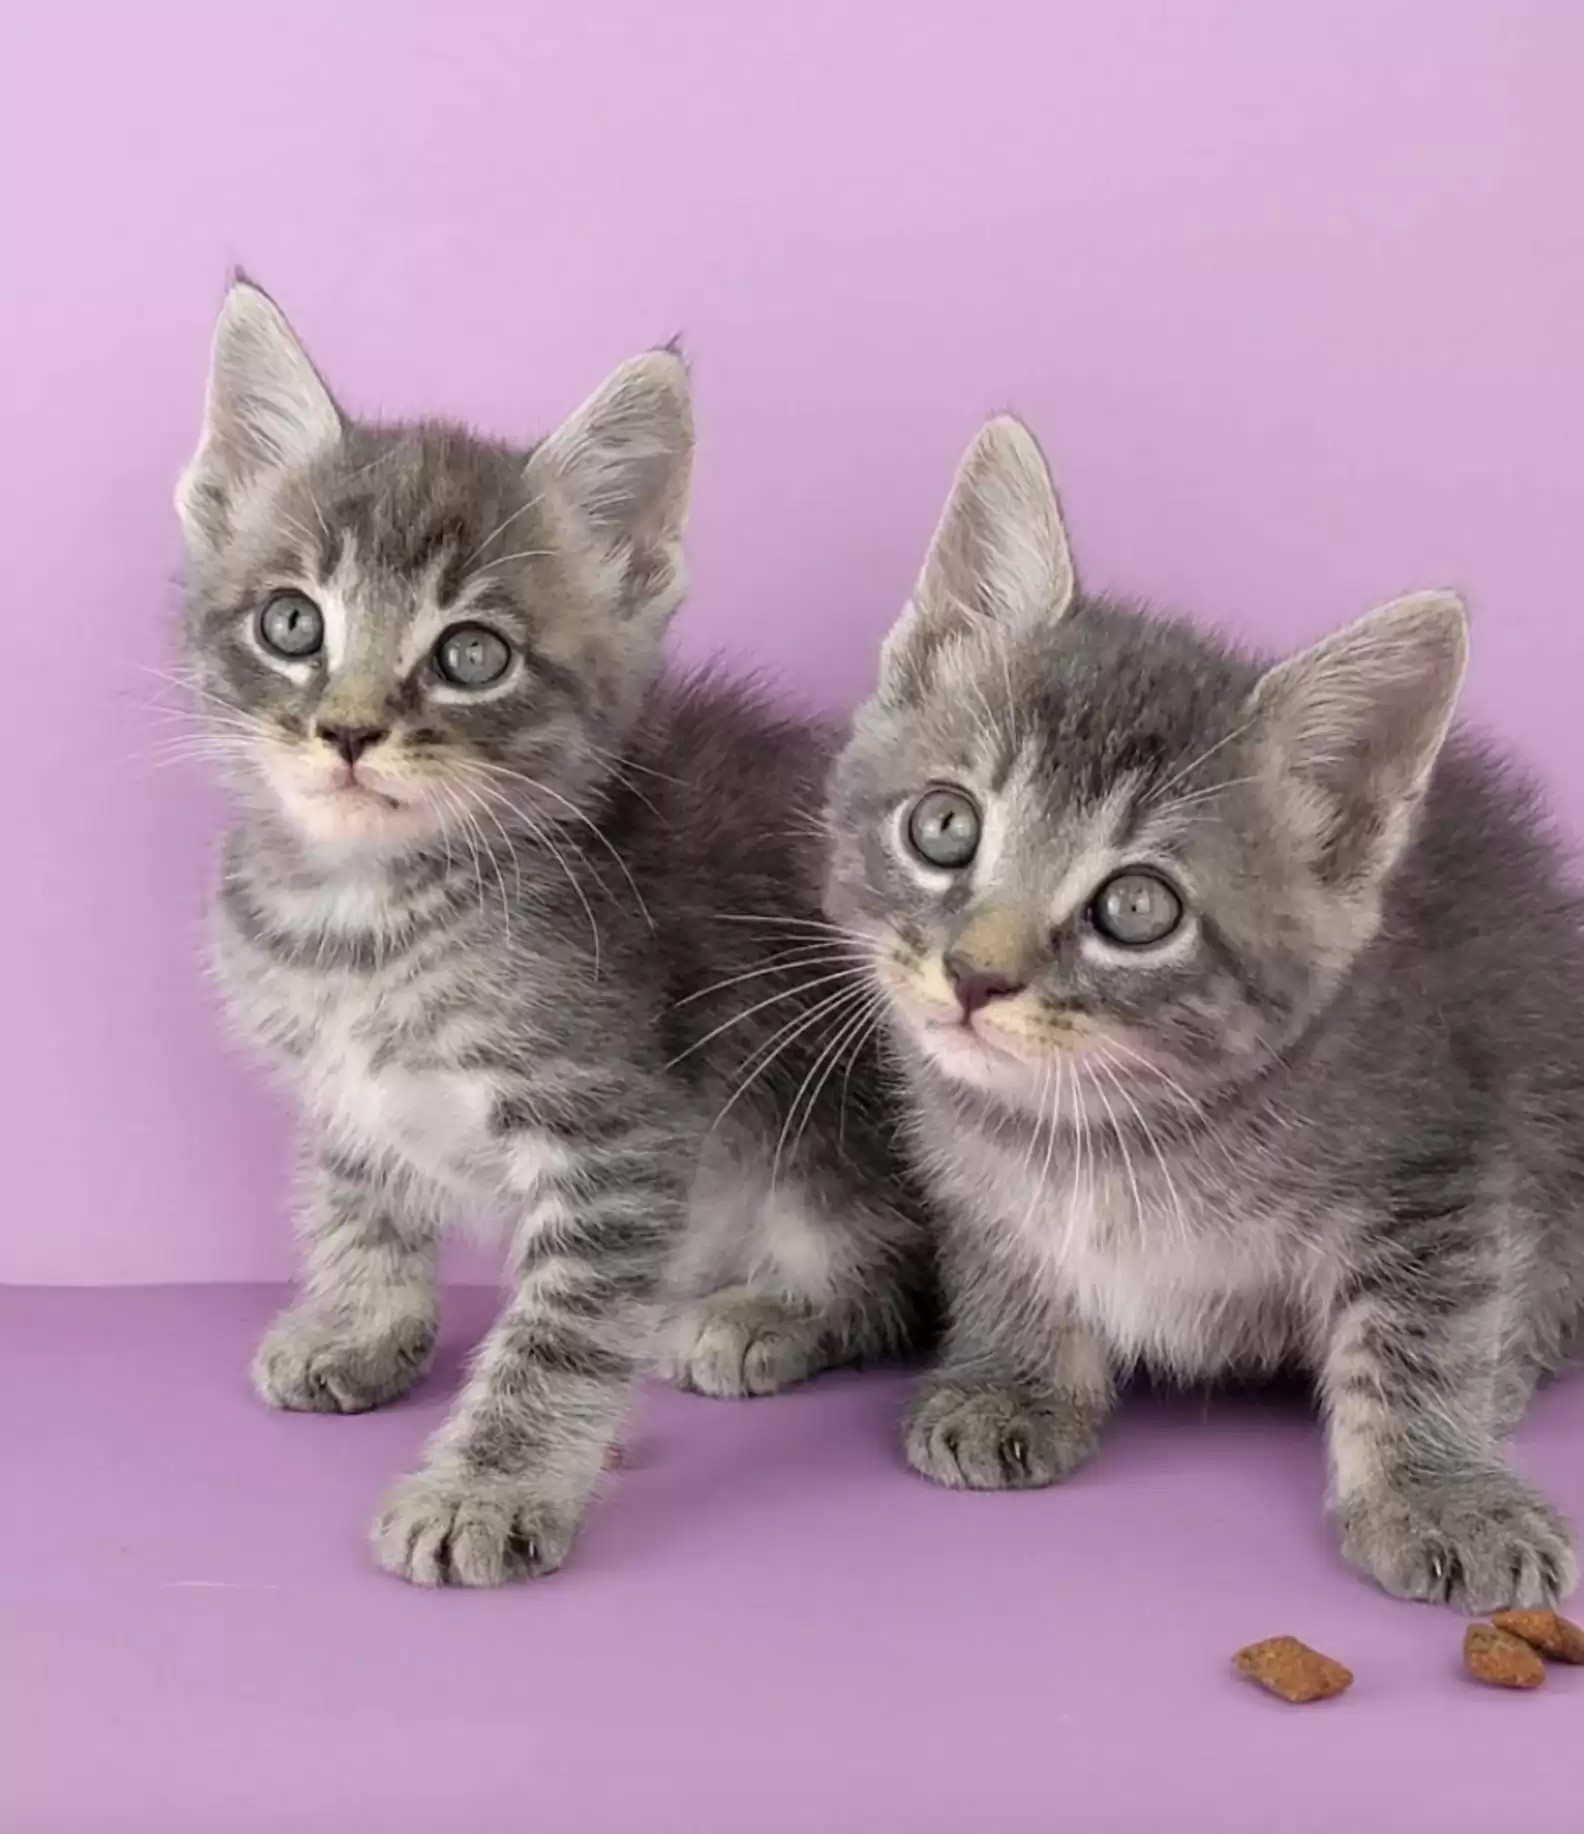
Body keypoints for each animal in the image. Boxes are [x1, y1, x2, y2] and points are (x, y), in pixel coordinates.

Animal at [179, 278, 935, 1584]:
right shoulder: (340, 1086)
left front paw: (486, 1488)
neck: (362, 921)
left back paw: (766, 1312)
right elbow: (357, 1194)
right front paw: (360, 1322)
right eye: (291, 624)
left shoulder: (620, 1130)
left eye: (472, 654)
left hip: (828, 1125)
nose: (348, 729)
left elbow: (560, 1330)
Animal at [828, 412, 1584, 1606]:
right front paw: (1014, 1377)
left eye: (1138, 907)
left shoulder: (1445, 1158)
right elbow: (1007, 1245)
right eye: (945, 826)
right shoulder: (975, 1166)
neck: (1119, 1128)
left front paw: (1440, 1494)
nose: (976, 976)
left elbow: (1423, 1330)